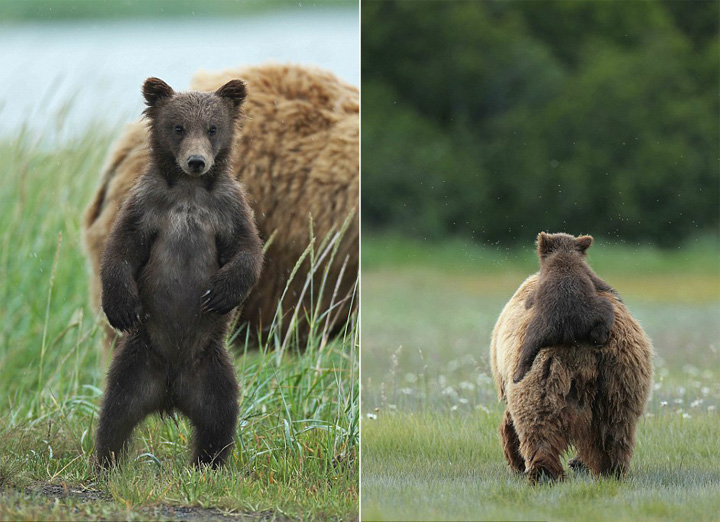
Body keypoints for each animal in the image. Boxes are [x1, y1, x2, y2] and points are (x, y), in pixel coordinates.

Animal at [490, 270, 652, 482]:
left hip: (544, 368)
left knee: (539, 423)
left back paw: (543, 472)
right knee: (613, 428)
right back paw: (609, 469)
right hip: (618, 377)